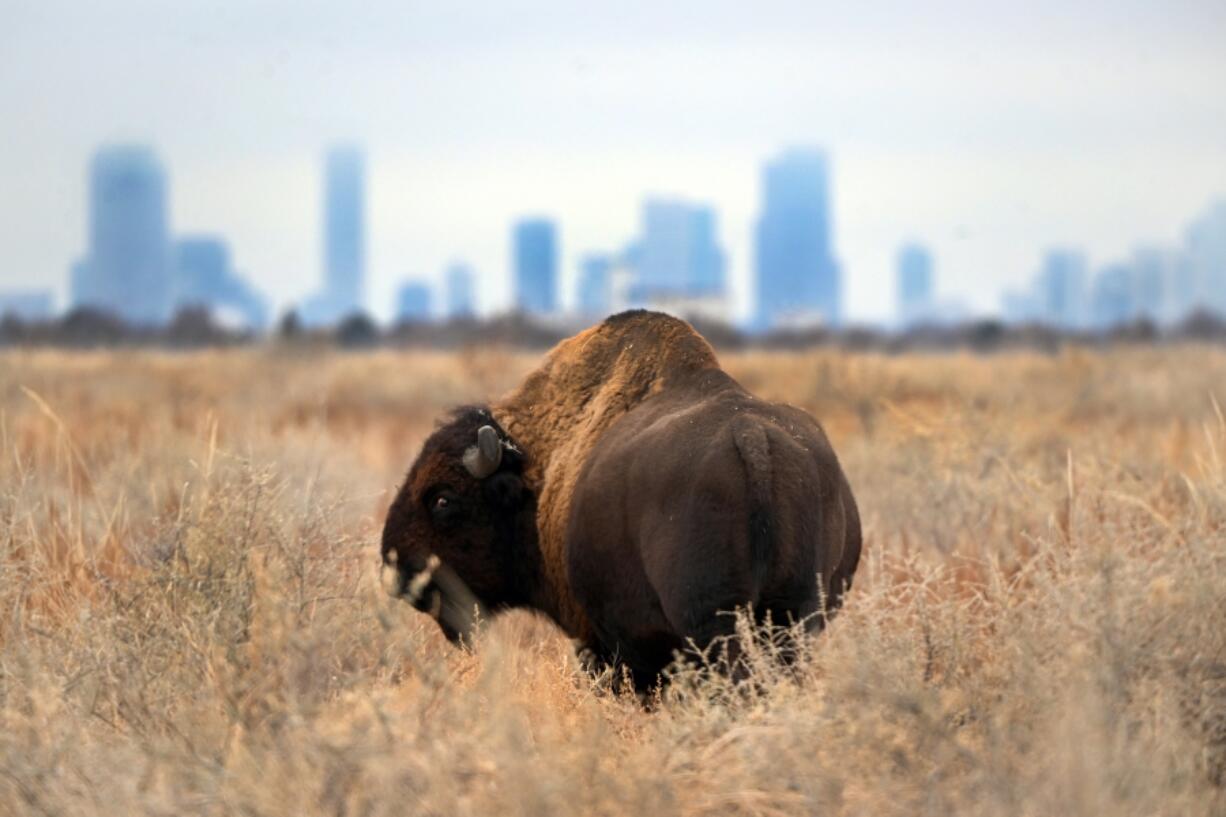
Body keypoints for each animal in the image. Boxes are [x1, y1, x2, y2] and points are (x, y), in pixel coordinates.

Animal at [382, 309, 863, 682]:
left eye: (443, 499)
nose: (394, 566)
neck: (539, 466)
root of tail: (753, 439)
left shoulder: (600, 641)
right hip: (793, 618)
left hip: (715, 624)